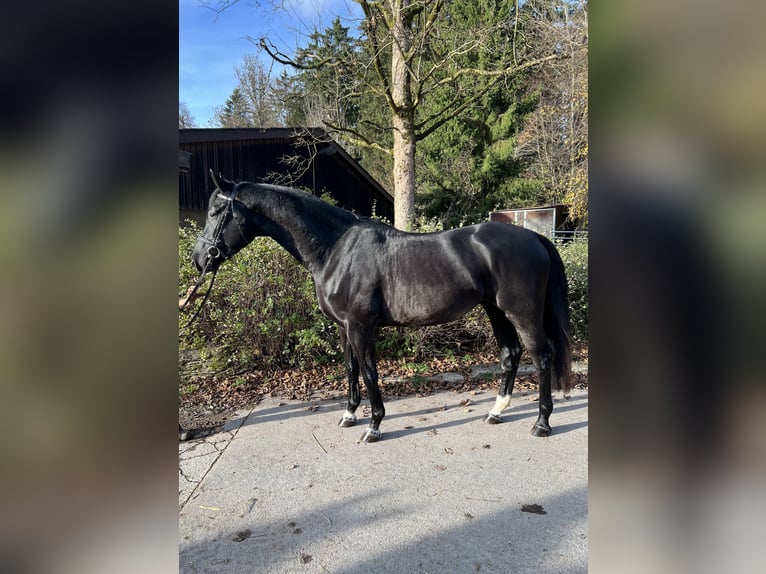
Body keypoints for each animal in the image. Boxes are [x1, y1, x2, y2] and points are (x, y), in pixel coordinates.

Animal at [190, 171, 572, 443]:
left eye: (216, 212)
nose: (199, 259)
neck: (336, 248)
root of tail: (534, 237)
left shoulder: (361, 326)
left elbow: (370, 371)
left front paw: (373, 426)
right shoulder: (343, 327)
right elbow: (350, 369)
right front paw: (349, 415)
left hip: (521, 313)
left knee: (542, 357)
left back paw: (541, 423)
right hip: (496, 311)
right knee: (511, 354)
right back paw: (496, 411)